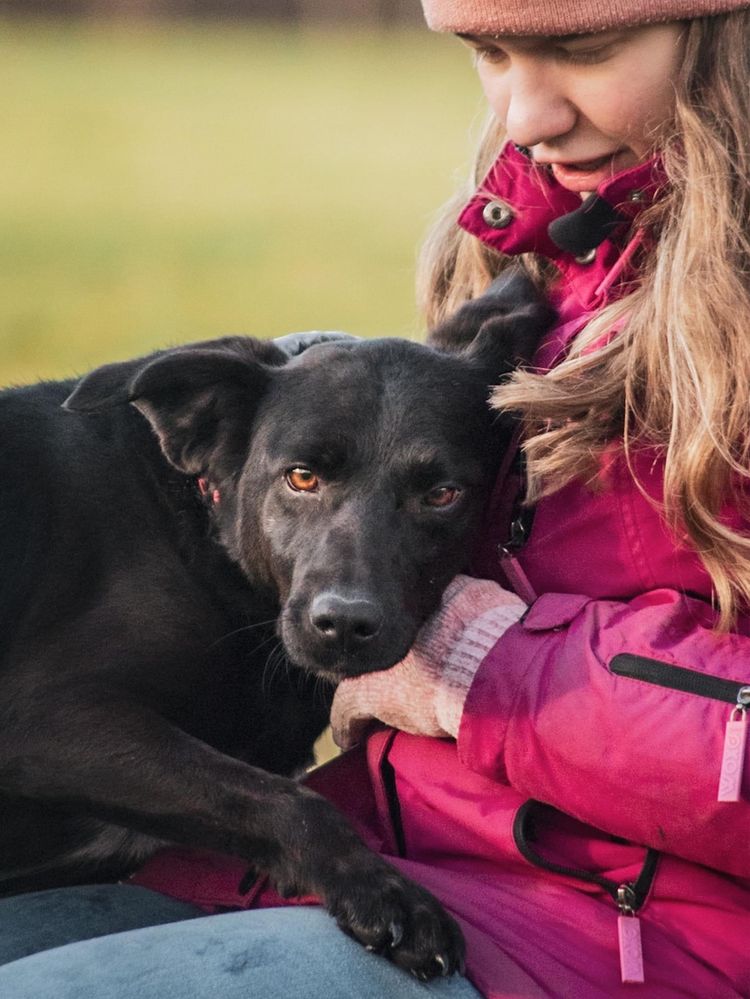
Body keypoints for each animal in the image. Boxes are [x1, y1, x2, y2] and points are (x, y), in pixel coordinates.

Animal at [0, 274, 552, 976]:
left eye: (442, 494)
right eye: (301, 477)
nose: (343, 623)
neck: (210, 544)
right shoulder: (44, 717)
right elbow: (278, 799)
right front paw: (386, 894)